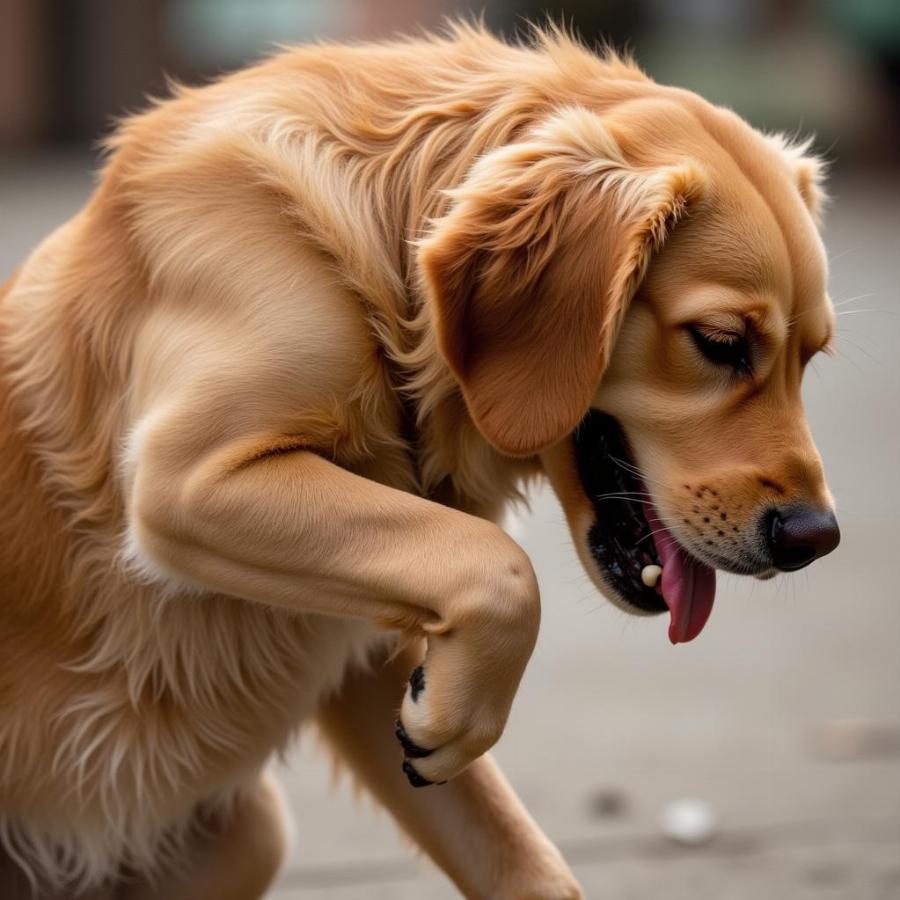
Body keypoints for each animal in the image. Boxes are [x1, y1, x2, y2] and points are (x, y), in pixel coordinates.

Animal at [1, 24, 836, 896]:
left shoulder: (370, 651)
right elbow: (499, 566)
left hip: (251, 833)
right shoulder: (185, 475)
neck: (377, 265)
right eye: (720, 343)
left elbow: (519, 856)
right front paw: (458, 717)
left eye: (812, 355)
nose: (814, 537)